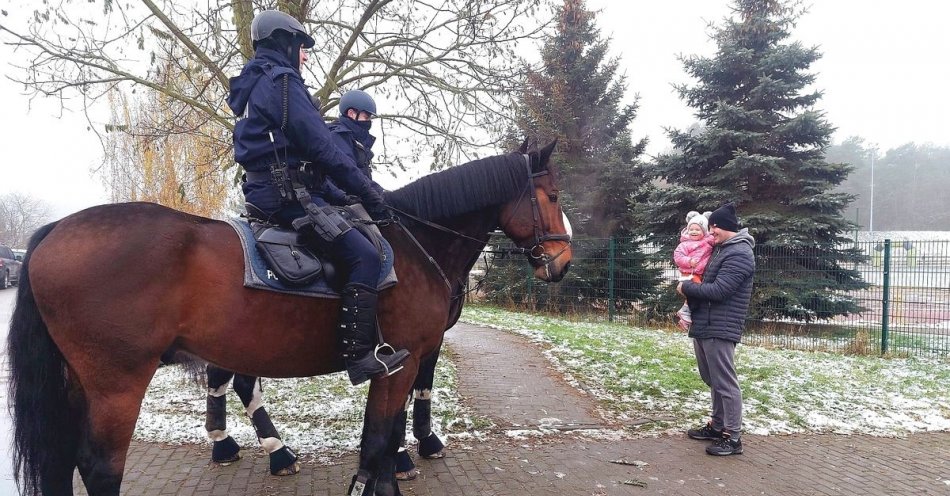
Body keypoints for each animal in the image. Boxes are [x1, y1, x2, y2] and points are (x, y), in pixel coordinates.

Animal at [7, 140, 572, 496]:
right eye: (552, 196)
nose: (563, 262)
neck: (418, 243)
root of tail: (54, 230)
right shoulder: (403, 359)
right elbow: (381, 436)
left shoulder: (400, 361)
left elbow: (383, 435)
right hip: (117, 383)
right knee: (99, 467)